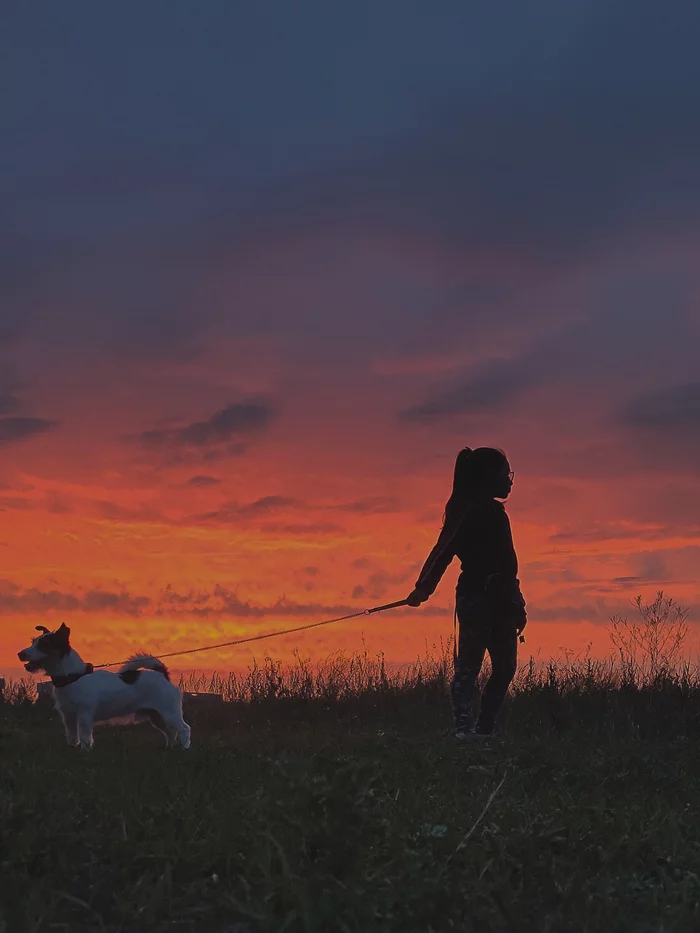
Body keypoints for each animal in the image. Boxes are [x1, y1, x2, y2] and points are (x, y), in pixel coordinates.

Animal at [17, 620, 191, 748]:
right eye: (33, 642)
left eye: (43, 645)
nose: (20, 654)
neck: (72, 677)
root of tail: (162, 674)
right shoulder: (69, 717)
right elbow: (72, 737)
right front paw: (73, 750)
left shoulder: (84, 715)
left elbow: (85, 738)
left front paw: (85, 752)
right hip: (156, 715)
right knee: (171, 732)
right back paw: (169, 749)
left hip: (169, 712)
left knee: (184, 729)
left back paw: (184, 749)